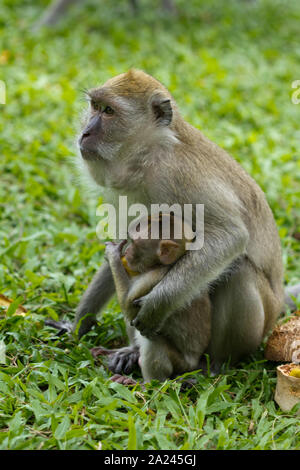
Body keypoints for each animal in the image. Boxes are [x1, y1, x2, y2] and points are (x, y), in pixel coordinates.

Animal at [95, 215, 212, 384]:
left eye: (134, 242)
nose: (127, 251)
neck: (162, 265)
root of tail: (194, 365)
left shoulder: (153, 277)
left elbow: (128, 306)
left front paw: (113, 255)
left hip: (181, 365)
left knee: (152, 339)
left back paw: (147, 385)